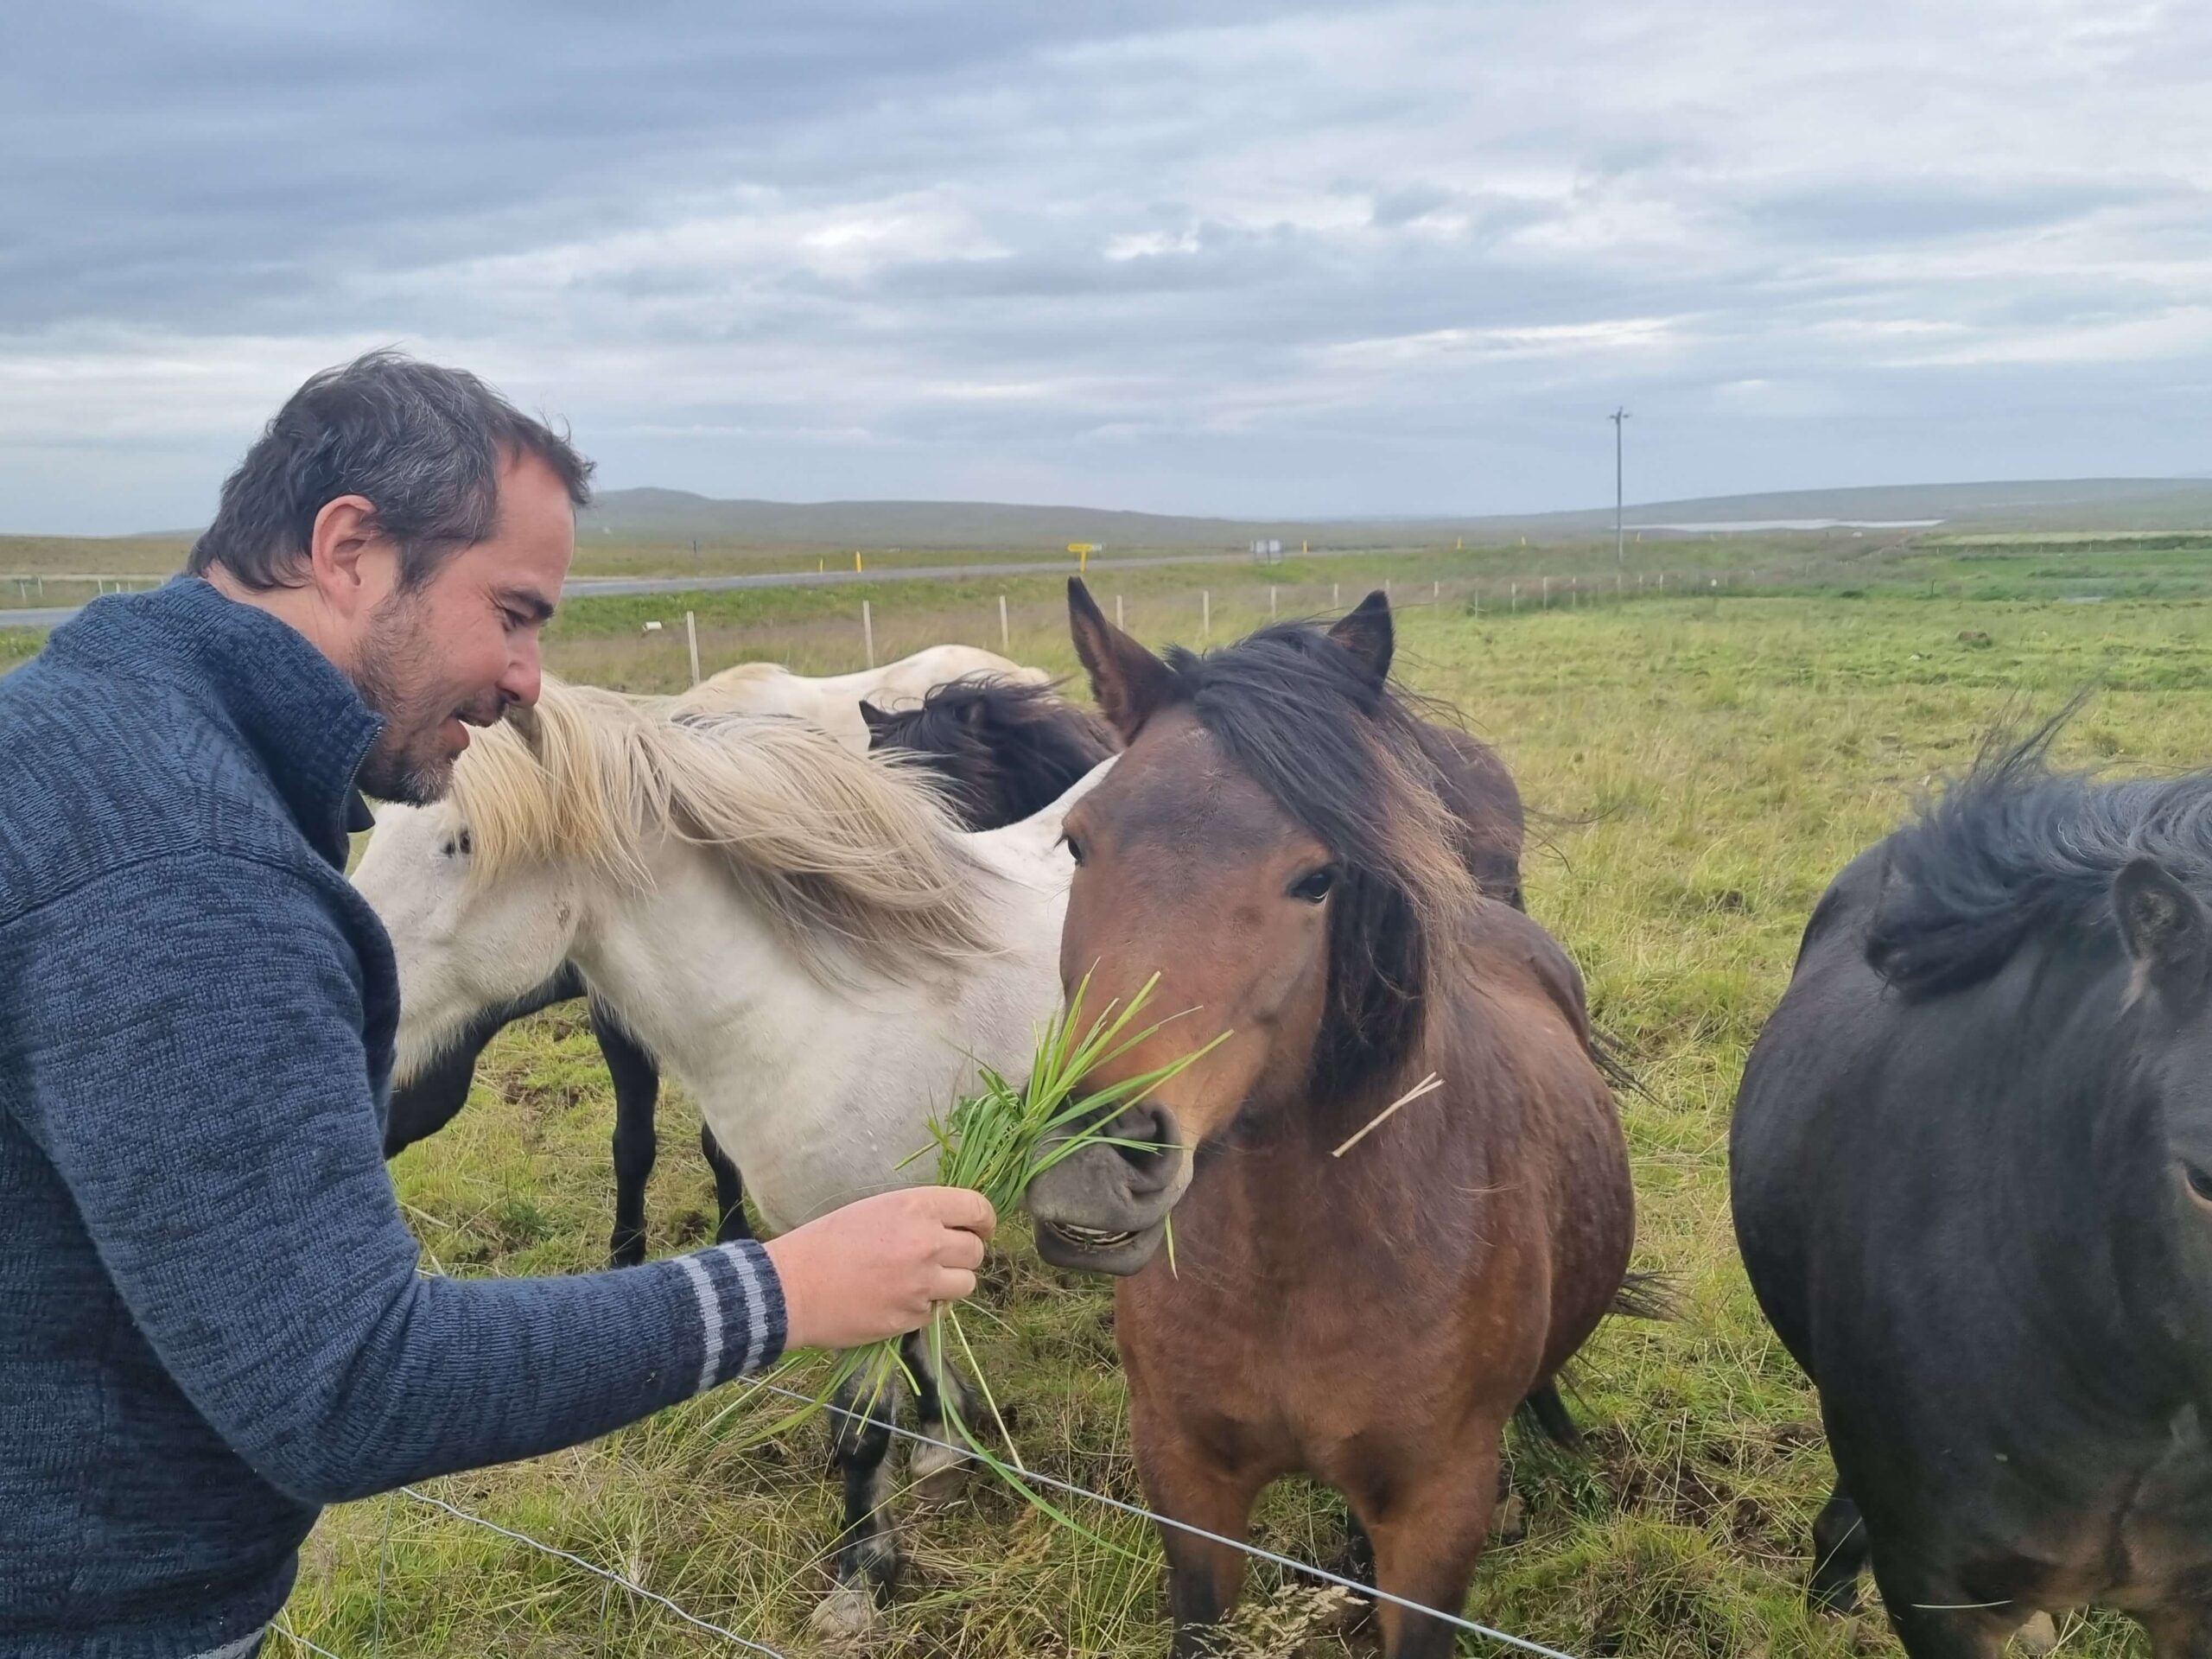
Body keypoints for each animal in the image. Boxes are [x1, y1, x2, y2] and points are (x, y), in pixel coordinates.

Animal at [1026, 583, 1637, 1659]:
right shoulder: (1187, 1484)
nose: (1094, 1159)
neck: (1288, 1266)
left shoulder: (1439, 1513)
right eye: (1077, 840)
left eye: (1315, 878)